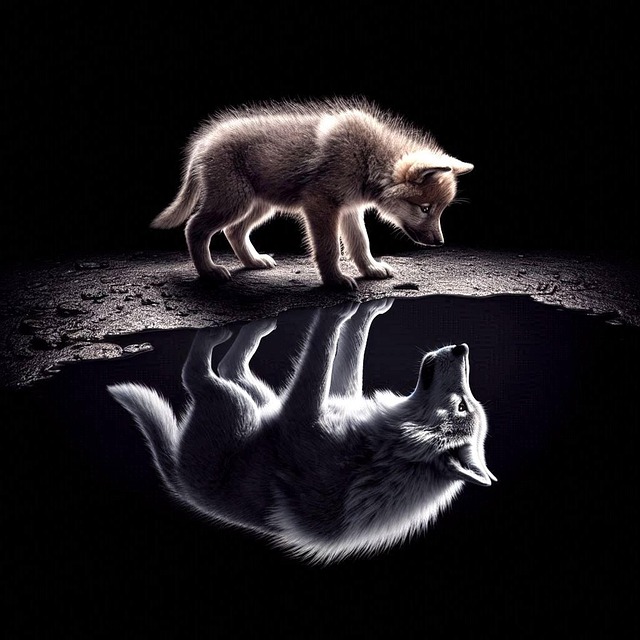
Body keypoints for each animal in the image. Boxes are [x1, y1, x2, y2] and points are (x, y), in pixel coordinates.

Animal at [108, 299, 495, 564]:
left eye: (463, 406)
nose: (462, 347)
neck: (382, 453)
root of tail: (177, 478)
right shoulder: (334, 399)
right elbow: (349, 348)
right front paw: (365, 309)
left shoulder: (301, 413)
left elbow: (319, 351)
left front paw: (336, 310)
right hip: (256, 401)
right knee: (232, 366)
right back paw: (257, 326)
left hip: (233, 404)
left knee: (200, 373)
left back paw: (218, 334)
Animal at [151, 99, 474, 289]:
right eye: (425, 208)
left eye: (439, 210)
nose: (440, 243)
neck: (369, 157)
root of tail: (203, 142)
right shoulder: (321, 205)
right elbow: (329, 247)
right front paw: (335, 280)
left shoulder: (350, 210)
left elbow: (360, 242)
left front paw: (369, 268)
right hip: (233, 201)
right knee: (195, 228)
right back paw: (209, 271)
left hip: (259, 204)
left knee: (234, 231)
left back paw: (253, 262)